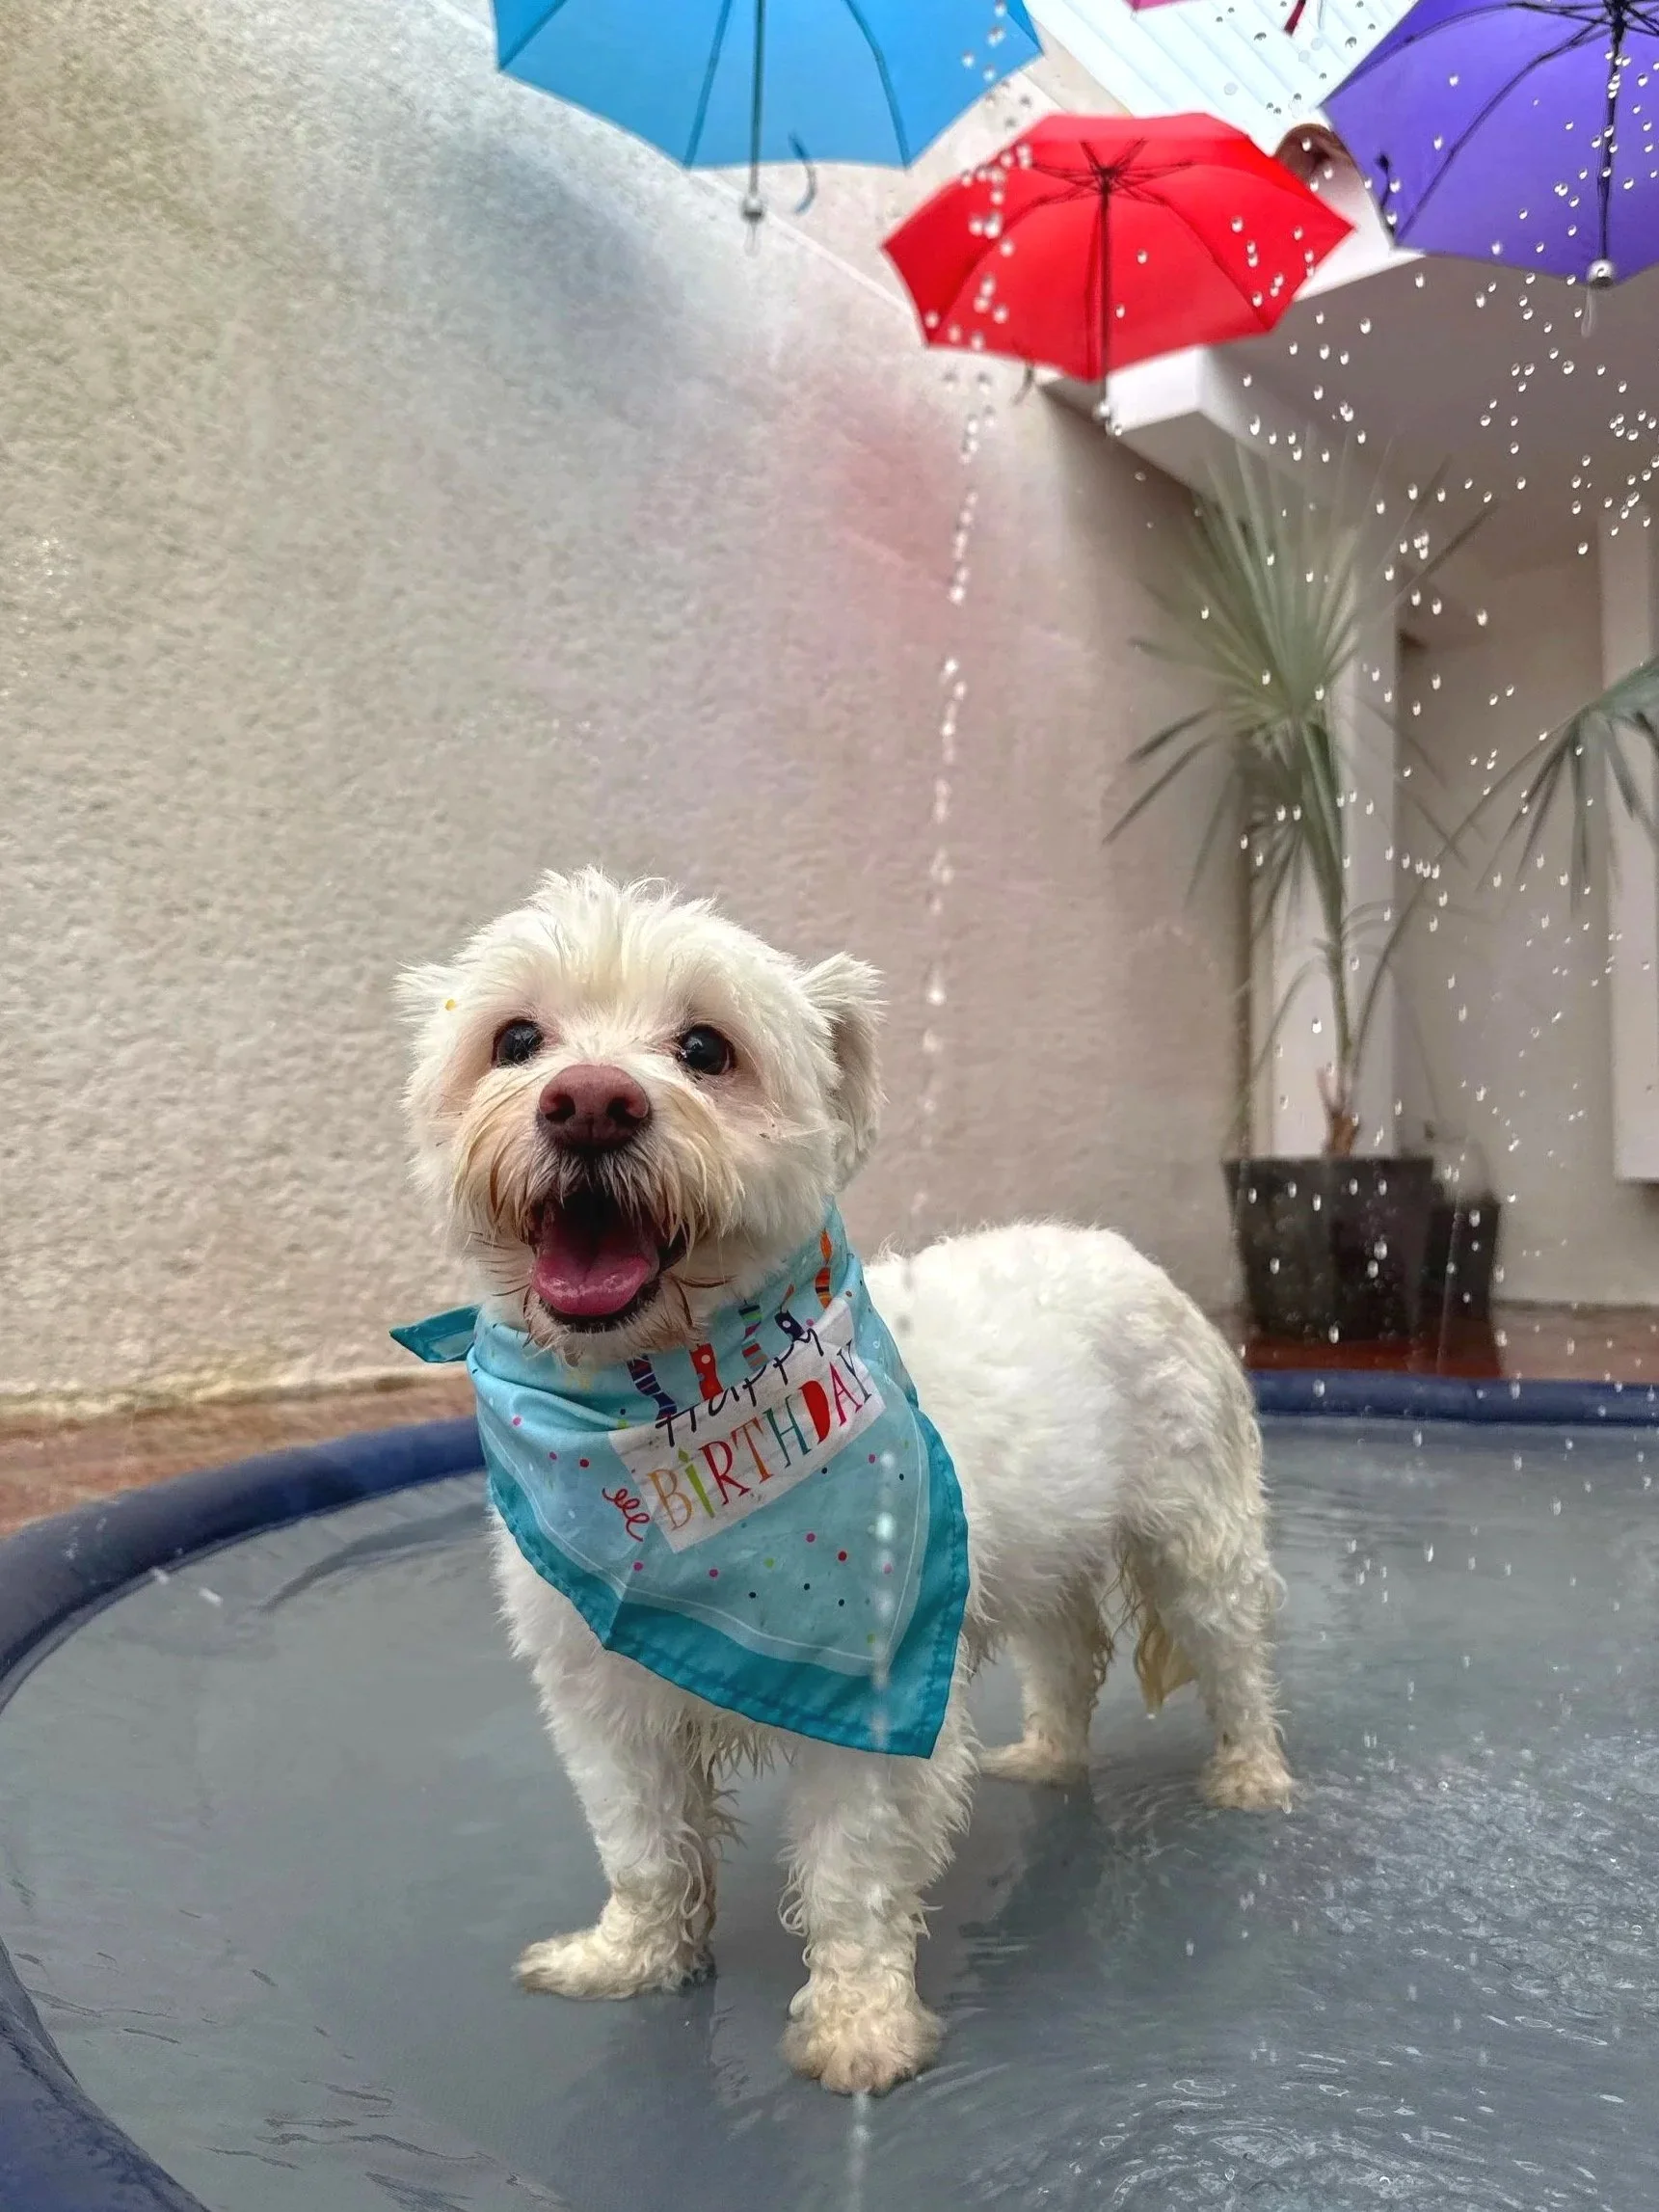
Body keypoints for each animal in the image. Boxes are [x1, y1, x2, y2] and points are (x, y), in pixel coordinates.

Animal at [399, 869, 1291, 2097]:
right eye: (516, 1039)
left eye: (705, 1047)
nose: (587, 1103)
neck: (656, 1408)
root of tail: (1121, 1251)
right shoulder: (601, 1691)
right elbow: (641, 1842)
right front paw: (632, 1956)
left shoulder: (872, 1688)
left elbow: (851, 1871)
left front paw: (860, 2024)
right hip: (1043, 1558)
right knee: (1070, 1653)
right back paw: (1046, 1754)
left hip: (1193, 1535)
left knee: (1231, 1655)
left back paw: (1251, 1775)